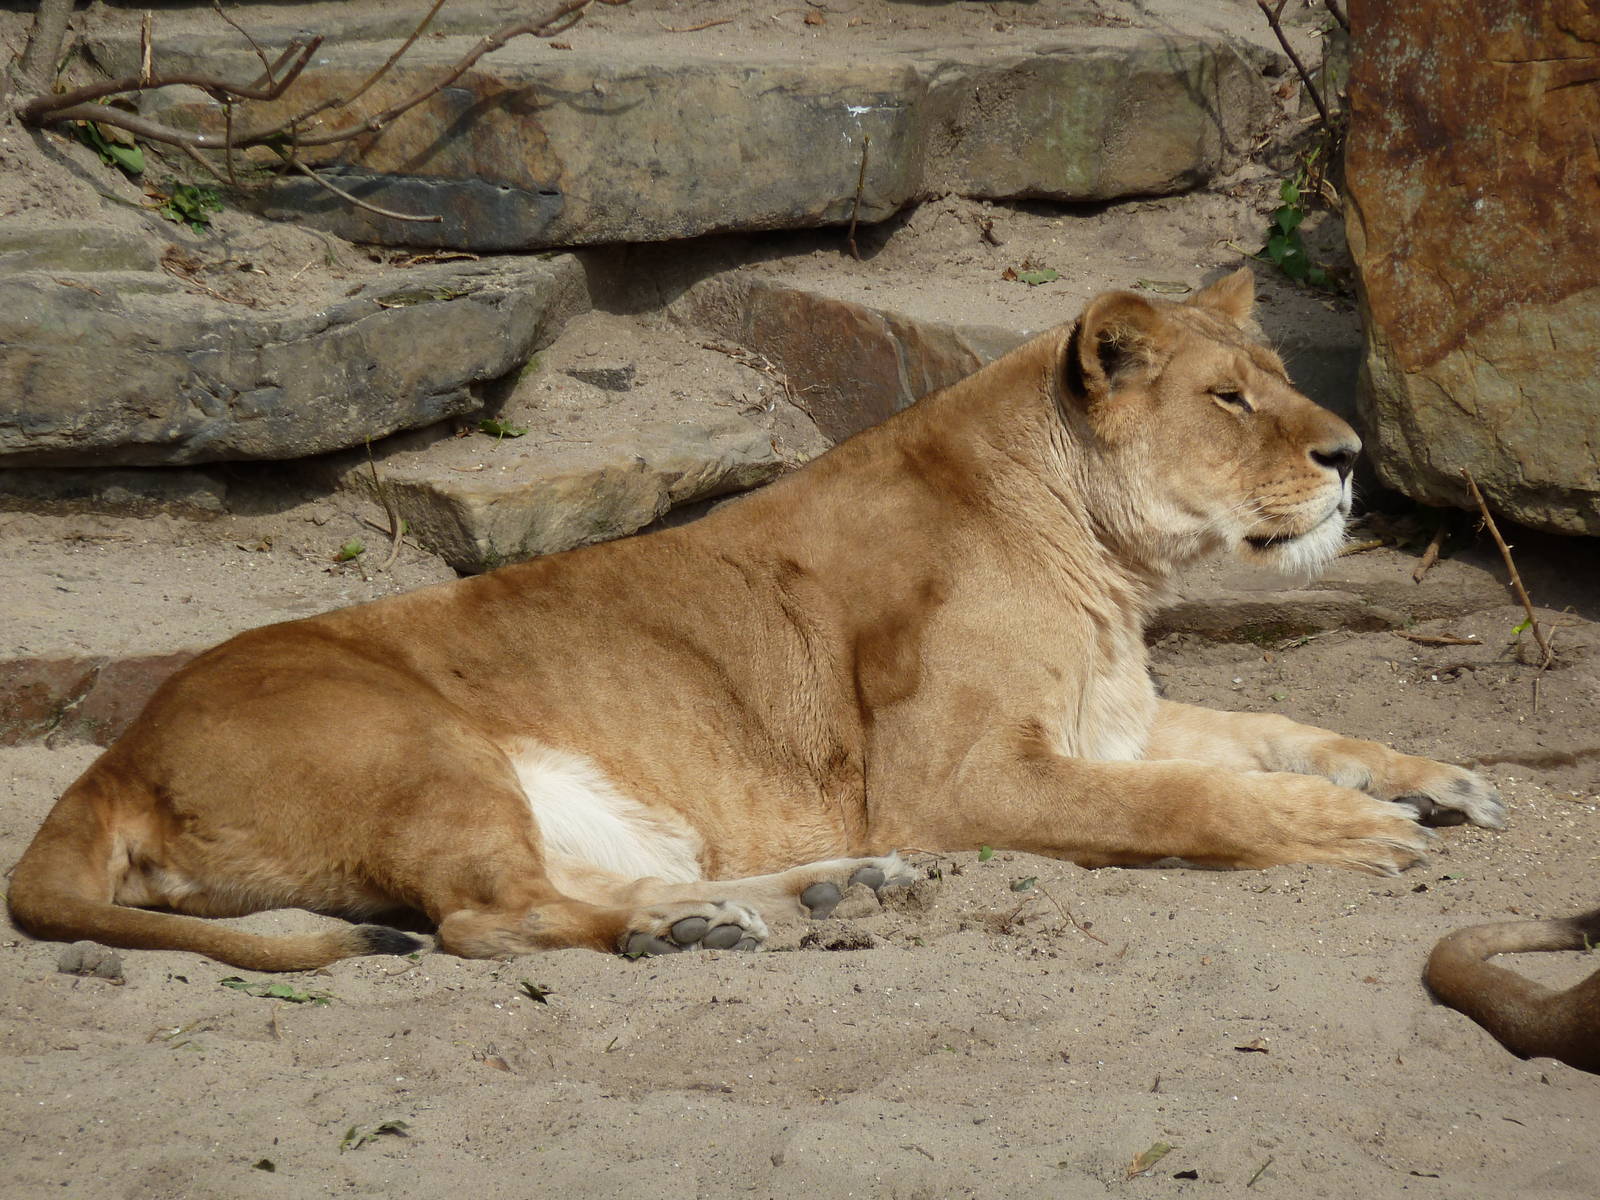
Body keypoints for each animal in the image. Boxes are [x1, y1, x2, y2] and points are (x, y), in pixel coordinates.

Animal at [7, 268, 1504, 970]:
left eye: (1278, 377)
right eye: (1231, 398)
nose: (1353, 458)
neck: (1105, 558)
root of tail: (118, 751)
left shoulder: (1112, 720)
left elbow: (1274, 723)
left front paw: (1436, 779)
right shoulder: (956, 781)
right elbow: (1195, 800)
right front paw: (1354, 830)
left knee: (583, 887)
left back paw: (805, 896)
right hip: (418, 745)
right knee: (488, 921)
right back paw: (708, 930)